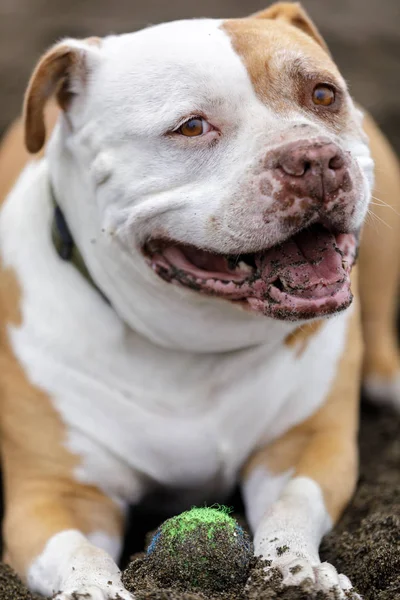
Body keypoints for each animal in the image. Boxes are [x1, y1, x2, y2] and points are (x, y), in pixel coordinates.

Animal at [0, 2, 400, 596]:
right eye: (191, 126)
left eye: (324, 95)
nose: (314, 158)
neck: (193, 343)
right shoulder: (54, 495)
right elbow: (77, 549)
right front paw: (93, 588)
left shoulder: (306, 444)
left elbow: (291, 505)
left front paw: (297, 571)